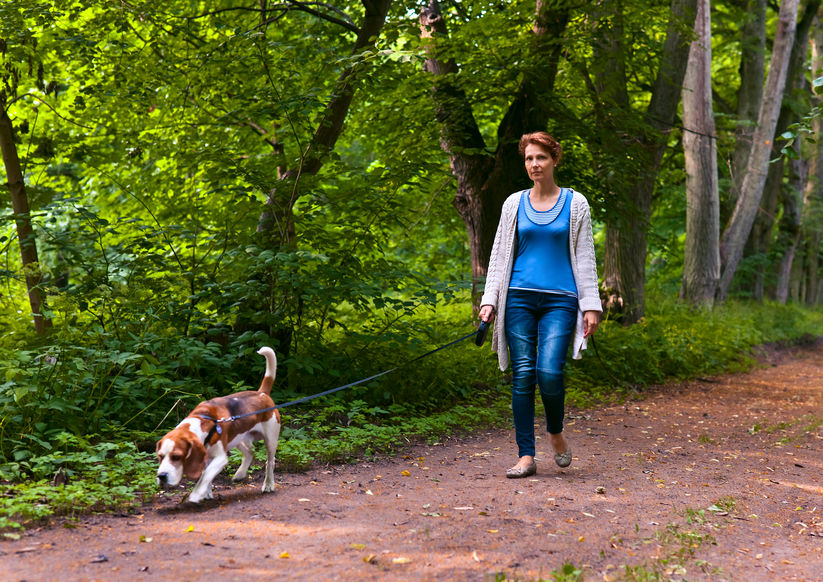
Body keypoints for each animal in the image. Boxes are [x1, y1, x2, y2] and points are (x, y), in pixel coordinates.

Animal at [156, 350, 282, 504]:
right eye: (160, 456)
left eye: (176, 457)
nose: (161, 476)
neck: (203, 421)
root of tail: (261, 393)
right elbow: (206, 474)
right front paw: (206, 493)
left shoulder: (220, 458)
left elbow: (206, 475)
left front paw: (197, 493)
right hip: (237, 438)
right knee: (249, 453)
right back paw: (240, 473)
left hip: (270, 440)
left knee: (270, 462)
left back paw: (268, 484)